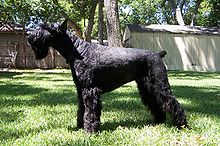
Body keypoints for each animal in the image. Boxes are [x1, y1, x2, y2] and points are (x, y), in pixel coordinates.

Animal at [27, 19, 188, 132]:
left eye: (46, 28)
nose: (29, 35)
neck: (78, 51)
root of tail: (158, 54)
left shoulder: (90, 90)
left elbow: (90, 111)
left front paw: (90, 130)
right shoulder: (81, 90)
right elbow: (81, 110)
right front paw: (79, 127)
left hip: (160, 85)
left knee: (173, 103)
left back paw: (182, 125)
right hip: (147, 88)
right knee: (156, 104)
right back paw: (158, 122)